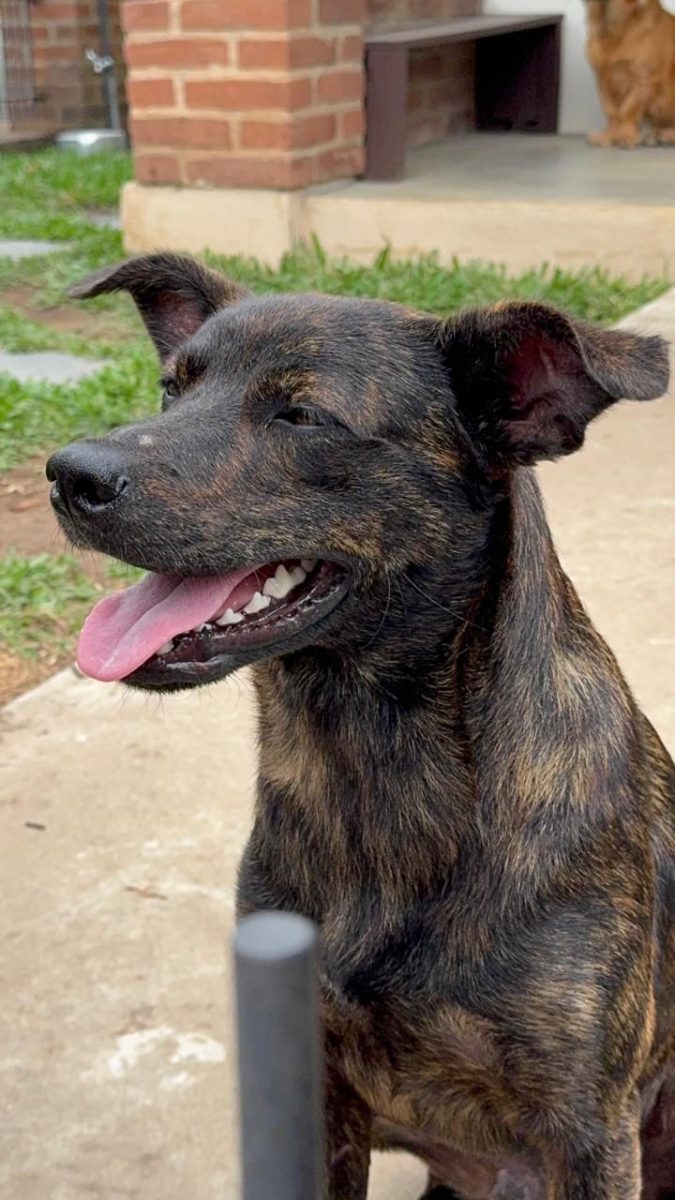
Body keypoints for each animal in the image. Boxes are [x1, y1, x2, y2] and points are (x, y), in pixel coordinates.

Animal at [47, 255, 672, 1200]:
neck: (368, 769)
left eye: (302, 415)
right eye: (170, 389)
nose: (68, 473)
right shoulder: (313, 1086)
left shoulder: (588, 1133)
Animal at [583, 0, 672, 147]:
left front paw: (626, 136)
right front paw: (608, 136)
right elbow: (611, 111)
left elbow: (626, 110)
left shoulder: (643, 80)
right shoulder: (603, 80)